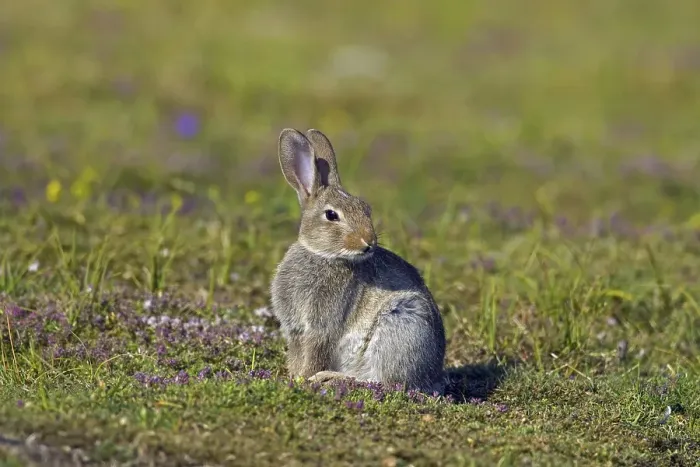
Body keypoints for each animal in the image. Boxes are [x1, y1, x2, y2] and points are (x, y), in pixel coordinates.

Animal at [270, 128, 446, 393]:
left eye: (366, 209)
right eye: (331, 215)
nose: (369, 242)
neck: (323, 255)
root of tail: (431, 378)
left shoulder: (322, 327)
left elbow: (315, 352)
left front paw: (304, 379)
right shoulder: (296, 330)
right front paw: (293, 377)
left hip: (400, 323)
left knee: (384, 382)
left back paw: (331, 378)